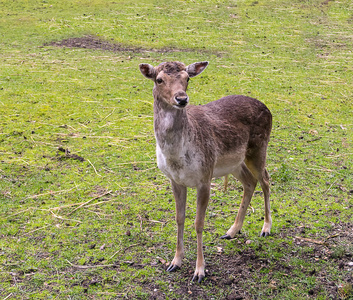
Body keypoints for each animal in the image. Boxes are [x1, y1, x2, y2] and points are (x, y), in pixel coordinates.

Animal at [139, 61, 270, 284]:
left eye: (187, 79)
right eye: (159, 79)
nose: (182, 99)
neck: (177, 157)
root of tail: (268, 109)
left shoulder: (205, 177)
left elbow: (199, 223)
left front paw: (199, 271)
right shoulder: (175, 180)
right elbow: (179, 218)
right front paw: (175, 262)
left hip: (258, 149)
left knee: (266, 181)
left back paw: (266, 228)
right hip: (235, 163)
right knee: (250, 182)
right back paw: (232, 231)